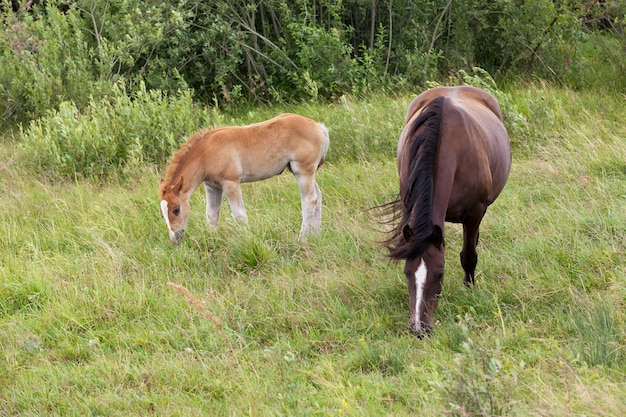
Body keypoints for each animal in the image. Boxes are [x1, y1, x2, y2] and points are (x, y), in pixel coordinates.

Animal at [158, 113, 330, 244]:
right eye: (162, 213)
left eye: (176, 209)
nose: (175, 238)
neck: (207, 153)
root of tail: (319, 126)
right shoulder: (212, 186)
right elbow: (212, 216)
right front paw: (212, 241)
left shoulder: (230, 183)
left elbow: (239, 215)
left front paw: (247, 240)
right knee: (318, 196)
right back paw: (316, 235)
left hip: (303, 171)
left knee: (309, 201)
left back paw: (302, 239)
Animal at [382, 86, 510, 336]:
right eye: (407, 272)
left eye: (439, 274)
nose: (419, 329)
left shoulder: (474, 215)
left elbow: (468, 256)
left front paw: (469, 289)